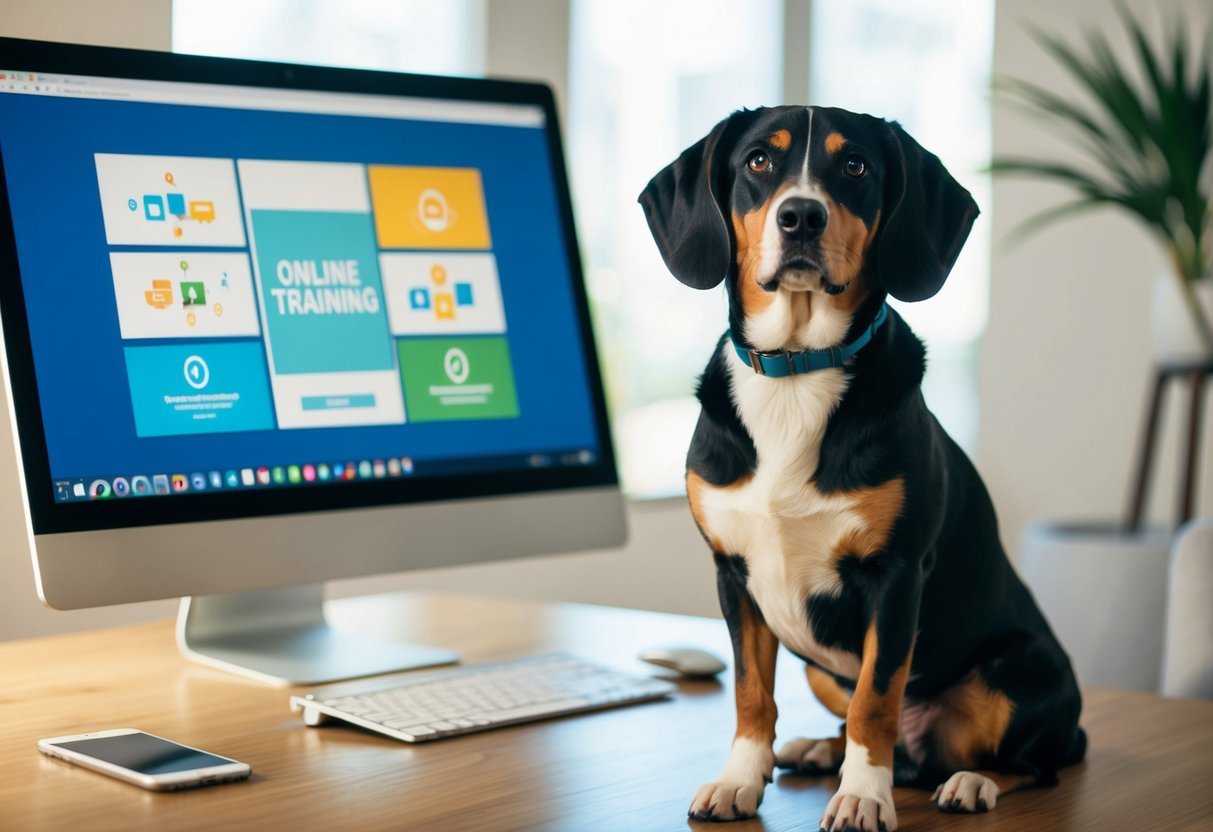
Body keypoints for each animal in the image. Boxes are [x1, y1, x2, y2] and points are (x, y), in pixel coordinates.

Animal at [640, 107, 1086, 829]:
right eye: (758, 161)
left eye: (854, 166)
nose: (800, 216)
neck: (796, 373)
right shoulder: (733, 576)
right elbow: (750, 693)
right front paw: (740, 779)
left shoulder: (894, 577)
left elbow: (875, 703)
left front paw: (862, 797)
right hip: (820, 666)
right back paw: (817, 750)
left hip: (1020, 670)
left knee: (1030, 763)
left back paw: (968, 782)